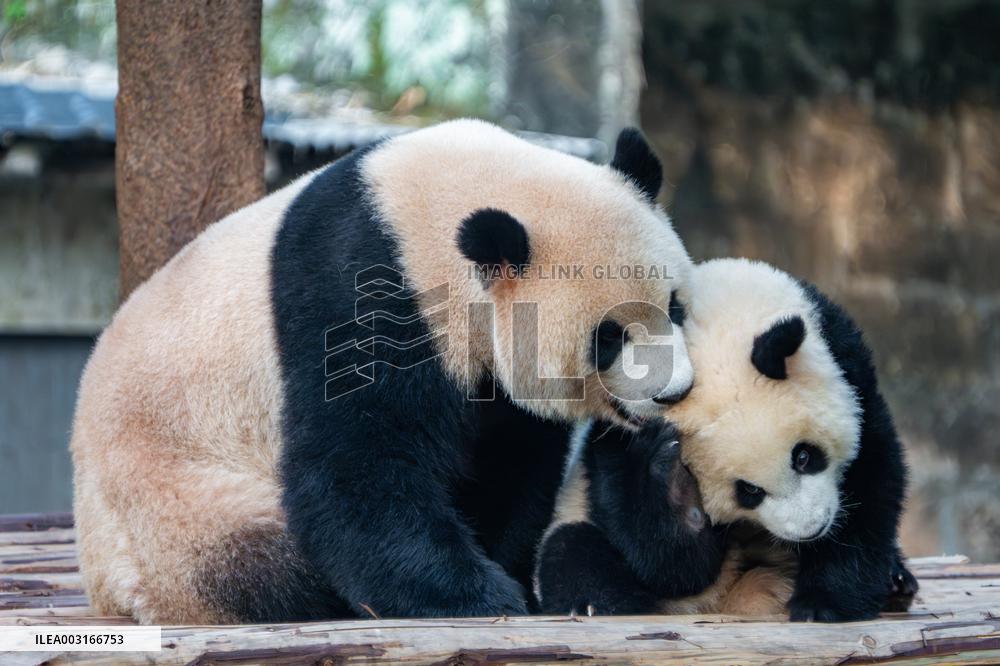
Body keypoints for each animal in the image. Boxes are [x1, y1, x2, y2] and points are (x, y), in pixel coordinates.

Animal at [70, 119, 696, 624]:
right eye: (609, 337)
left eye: (674, 306)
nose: (674, 392)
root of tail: (103, 588)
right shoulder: (362, 290)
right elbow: (358, 461)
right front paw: (477, 596)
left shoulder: (489, 371)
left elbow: (507, 460)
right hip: (171, 498)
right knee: (262, 566)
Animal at [535, 258, 918, 622]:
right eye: (749, 491)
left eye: (803, 457)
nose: (812, 528)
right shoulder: (614, 437)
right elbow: (671, 565)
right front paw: (672, 486)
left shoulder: (848, 365)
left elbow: (868, 485)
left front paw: (822, 603)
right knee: (572, 552)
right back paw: (598, 604)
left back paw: (897, 582)